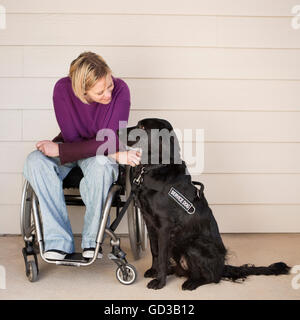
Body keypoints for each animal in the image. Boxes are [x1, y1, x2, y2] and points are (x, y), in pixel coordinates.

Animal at [118, 118, 290, 290]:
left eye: (142, 127)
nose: (118, 130)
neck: (154, 168)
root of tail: (222, 266)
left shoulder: (164, 227)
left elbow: (161, 256)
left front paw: (159, 281)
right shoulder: (150, 222)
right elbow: (155, 251)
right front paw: (154, 271)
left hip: (194, 244)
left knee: (212, 277)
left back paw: (191, 283)